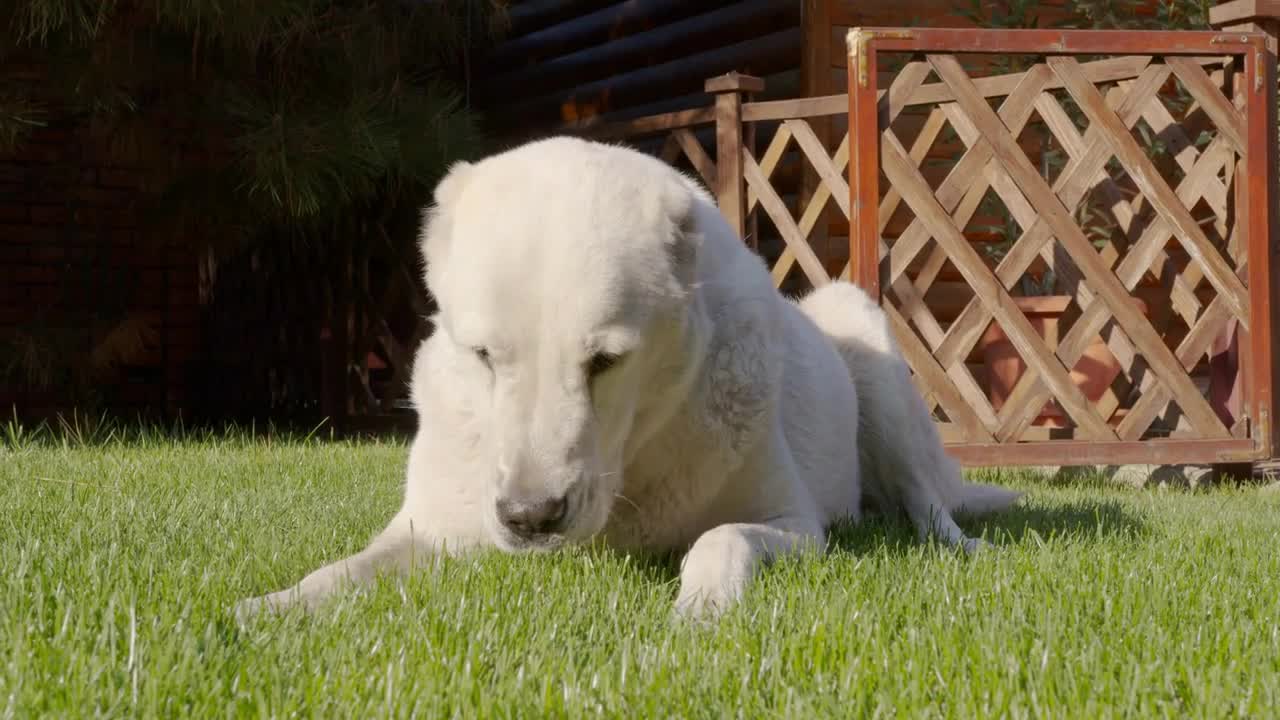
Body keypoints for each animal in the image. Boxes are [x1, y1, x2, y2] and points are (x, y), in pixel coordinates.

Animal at [235, 137, 1024, 620]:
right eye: (484, 355)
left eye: (605, 362)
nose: (530, 518)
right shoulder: (428, 530)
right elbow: (344, 569)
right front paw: (266, 608)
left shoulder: (794, 526)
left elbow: (721, 539)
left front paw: (701, 608)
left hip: (861, 334)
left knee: (928, 504)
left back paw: (966, 547)